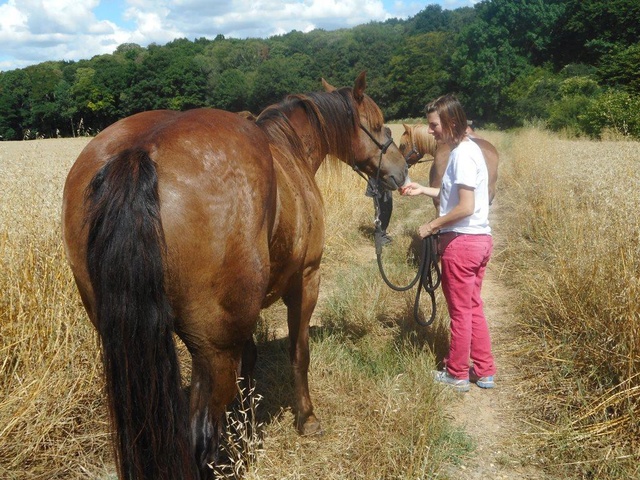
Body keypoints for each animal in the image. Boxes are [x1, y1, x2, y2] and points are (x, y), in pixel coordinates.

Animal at [61, 72, 410, 480]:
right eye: (377, 124)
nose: (402, 170)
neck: (288, 151)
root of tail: (141, 151)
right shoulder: (307, 278)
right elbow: (299, 352)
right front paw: (306, 418)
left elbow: (251, 361)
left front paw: (247, 425)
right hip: (214, 351)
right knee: (199, 436)